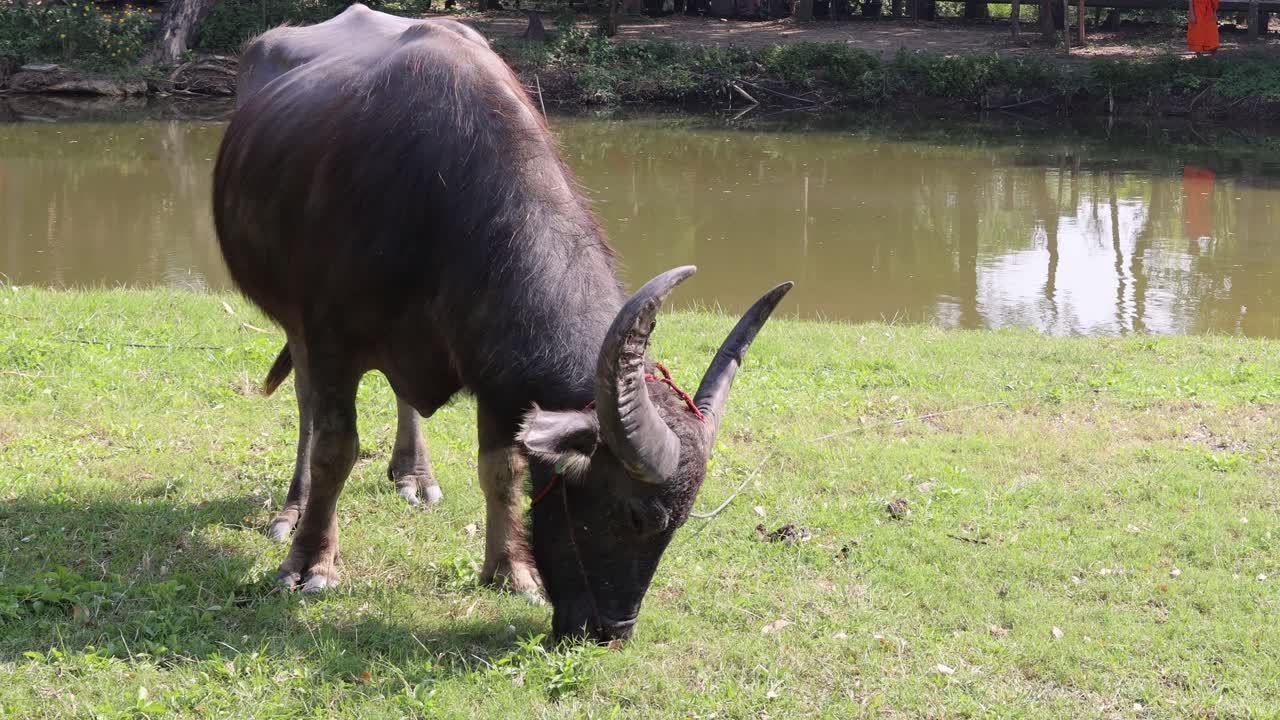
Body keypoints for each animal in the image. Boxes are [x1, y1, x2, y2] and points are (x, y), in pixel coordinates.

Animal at [214, 14, 791, 641]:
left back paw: (414, 475)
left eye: (679, 523)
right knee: (306, 409)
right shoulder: (330, 341)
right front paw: (310, 562)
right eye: (636, 514)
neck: (435, 203)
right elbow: (334, 449)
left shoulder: (498, 369)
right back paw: (293, 511)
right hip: (293, 322)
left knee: (405, 396)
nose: (613, 631)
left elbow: (503, 468)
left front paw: (511, 569)